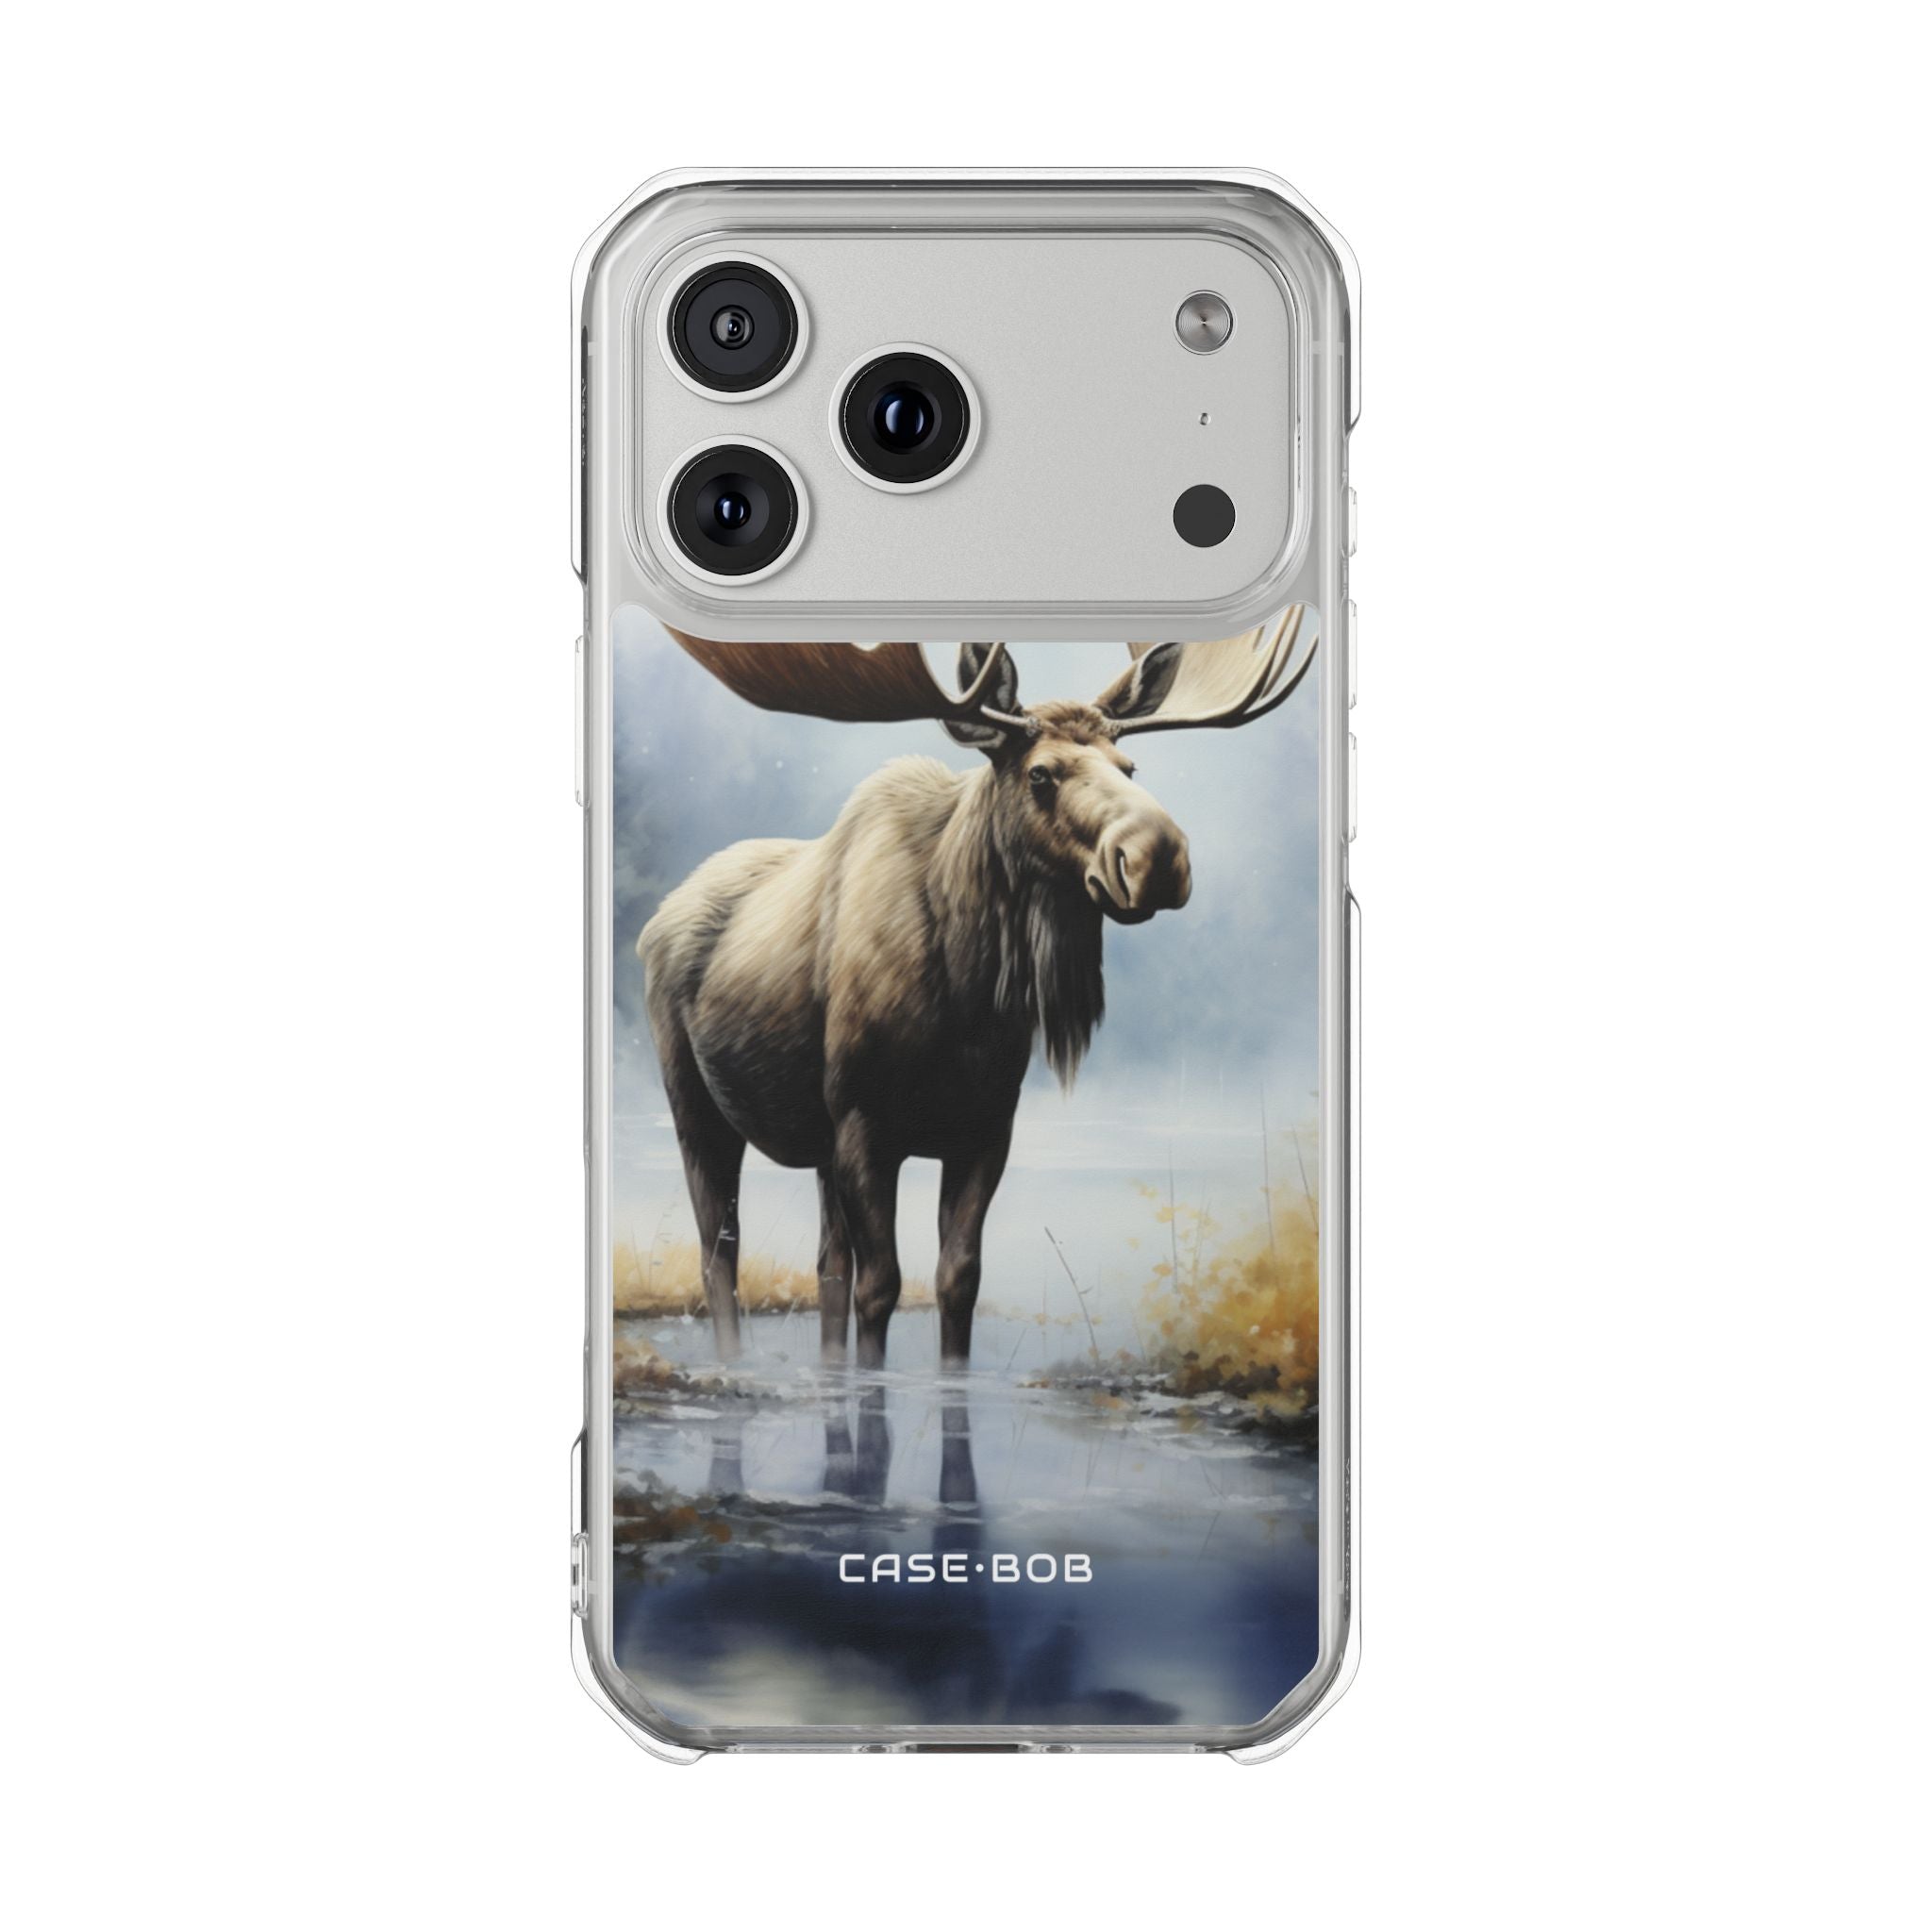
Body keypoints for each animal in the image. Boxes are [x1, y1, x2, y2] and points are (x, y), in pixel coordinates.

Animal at [638, 610, 1315, 1369]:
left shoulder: (985, 1124)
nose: (1159, 855)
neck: (968, 997)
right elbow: (883, 1285)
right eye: (1041, 772)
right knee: (719, 1251)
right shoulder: (864, 1124)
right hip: (697, 1104)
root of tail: (659, 917)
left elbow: (957, 1278)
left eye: (1130, 767)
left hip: (814, 1141)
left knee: (825, 1264)